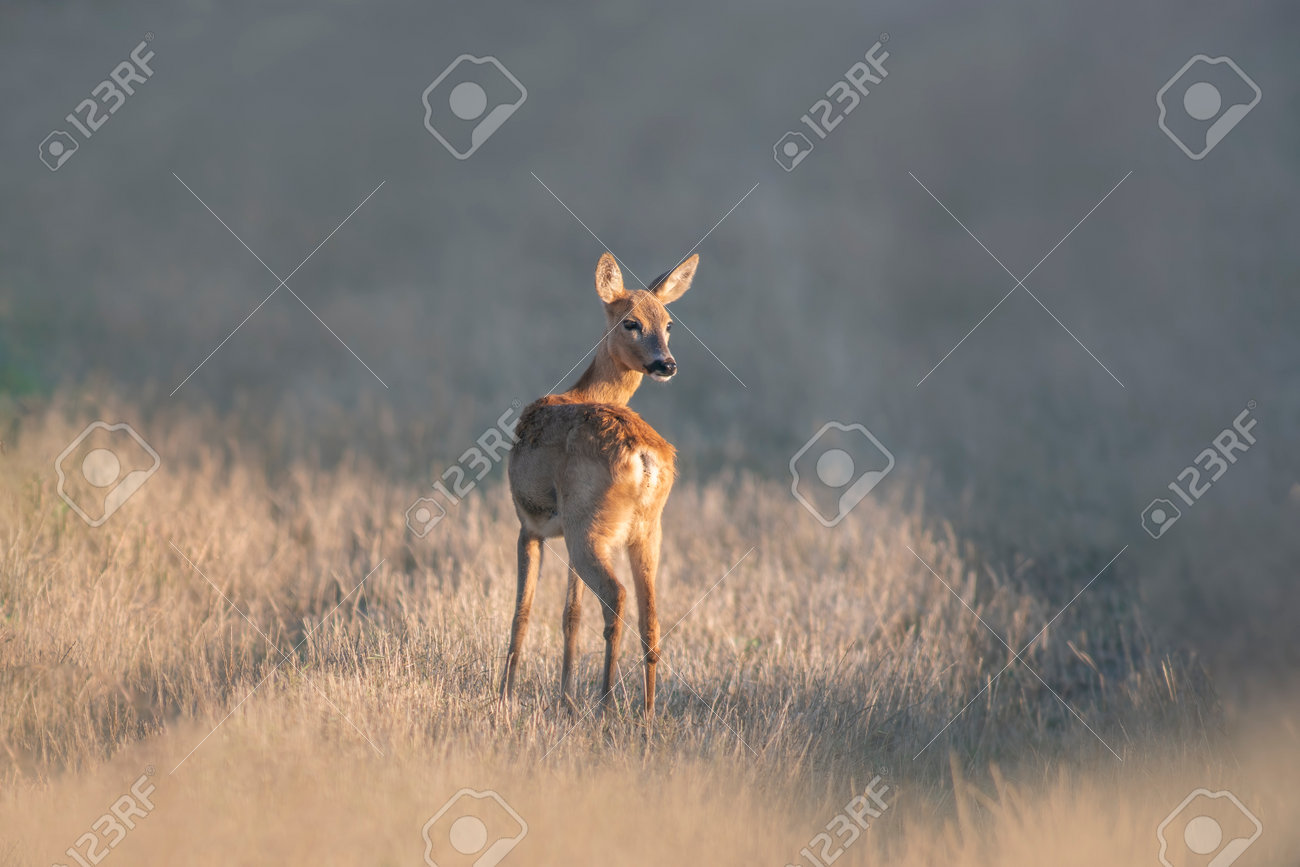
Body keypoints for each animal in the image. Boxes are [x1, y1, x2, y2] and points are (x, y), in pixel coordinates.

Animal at [496, 249, 702, 717]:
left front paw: (504, 697)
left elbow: (522, 612)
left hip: (588, 527)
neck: (583, 393)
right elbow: (570, 615)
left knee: (616, 597)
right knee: (651, 616)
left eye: (668, 324)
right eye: (632, 322)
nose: (667, 363)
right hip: (642, 531)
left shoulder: (528, 525)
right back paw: (646, 714)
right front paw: (565, 699)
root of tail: (644, 459)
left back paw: (607, 704)